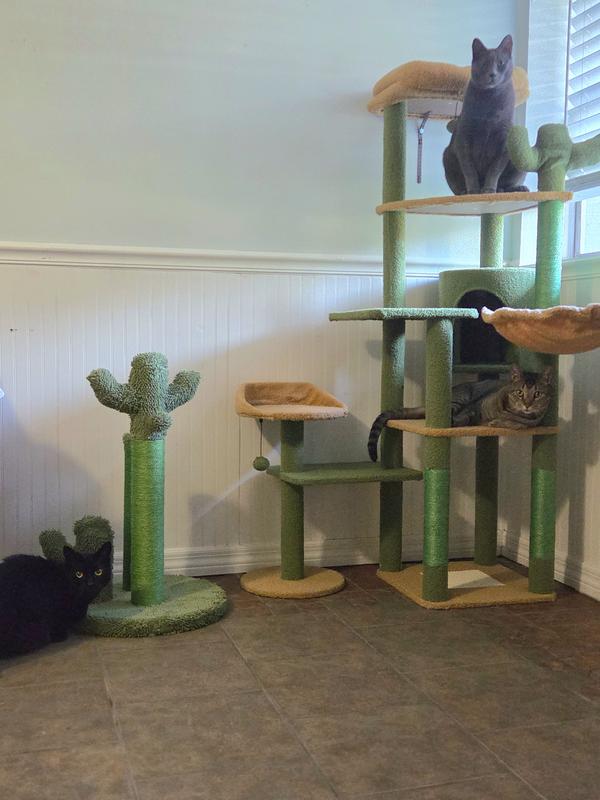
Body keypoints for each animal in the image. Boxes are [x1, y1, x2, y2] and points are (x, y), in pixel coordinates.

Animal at [368, 366, 553, 462]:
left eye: (537, 394)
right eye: (519, 393)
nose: (527, 404)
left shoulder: (531, 423)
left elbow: (518, 424)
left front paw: (499, 422)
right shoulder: (473, 407)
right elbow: (465, 417)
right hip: (459, 399)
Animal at [443, 35, 527, 195]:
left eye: (500, 63)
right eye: (483, 64)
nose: (492, 74)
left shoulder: (504, 143)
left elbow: (494, 170)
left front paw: (488, 189)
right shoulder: (464, 138)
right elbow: (469, 169)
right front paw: (474, 191)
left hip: (519, 154)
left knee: (506, 183)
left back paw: (512, 189)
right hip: (447, 156)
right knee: (456, 186)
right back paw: (464, 192)